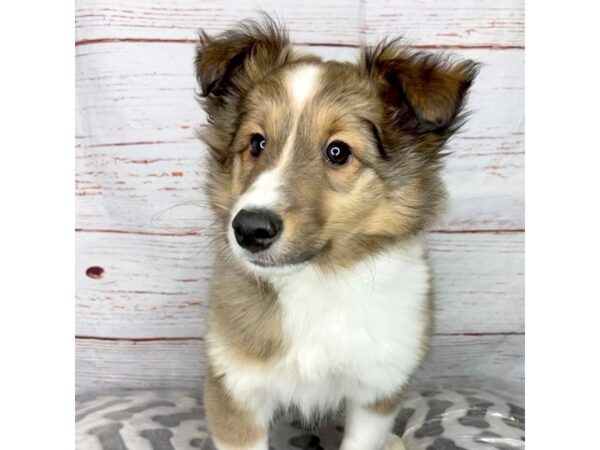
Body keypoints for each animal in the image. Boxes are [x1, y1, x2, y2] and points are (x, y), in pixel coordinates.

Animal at [196, 16, 478, 450]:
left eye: (338, 152)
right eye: (256, 143)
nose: (249, 229)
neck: (316, 281)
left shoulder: (378, 390)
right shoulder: (235, 390)